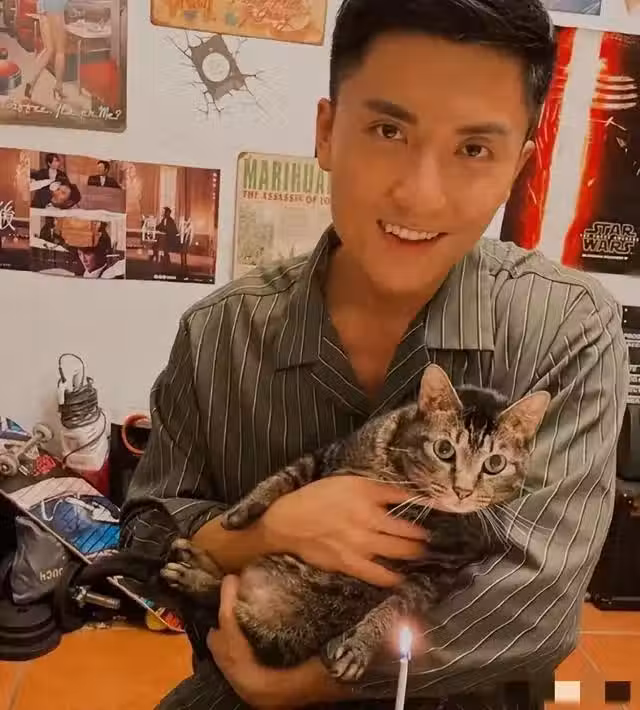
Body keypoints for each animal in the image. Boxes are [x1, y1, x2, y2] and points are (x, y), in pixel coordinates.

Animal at [83, 364, 549, 683]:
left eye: (494, 464)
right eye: (444, 450)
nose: (463, 491)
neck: (407, 487)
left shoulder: (443, 571)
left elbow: (398, 606)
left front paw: (360, 645)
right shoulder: (328, 458)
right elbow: (286, 477)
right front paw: (244, 510)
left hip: (281, 617)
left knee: (226, 600)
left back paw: (197, 575)